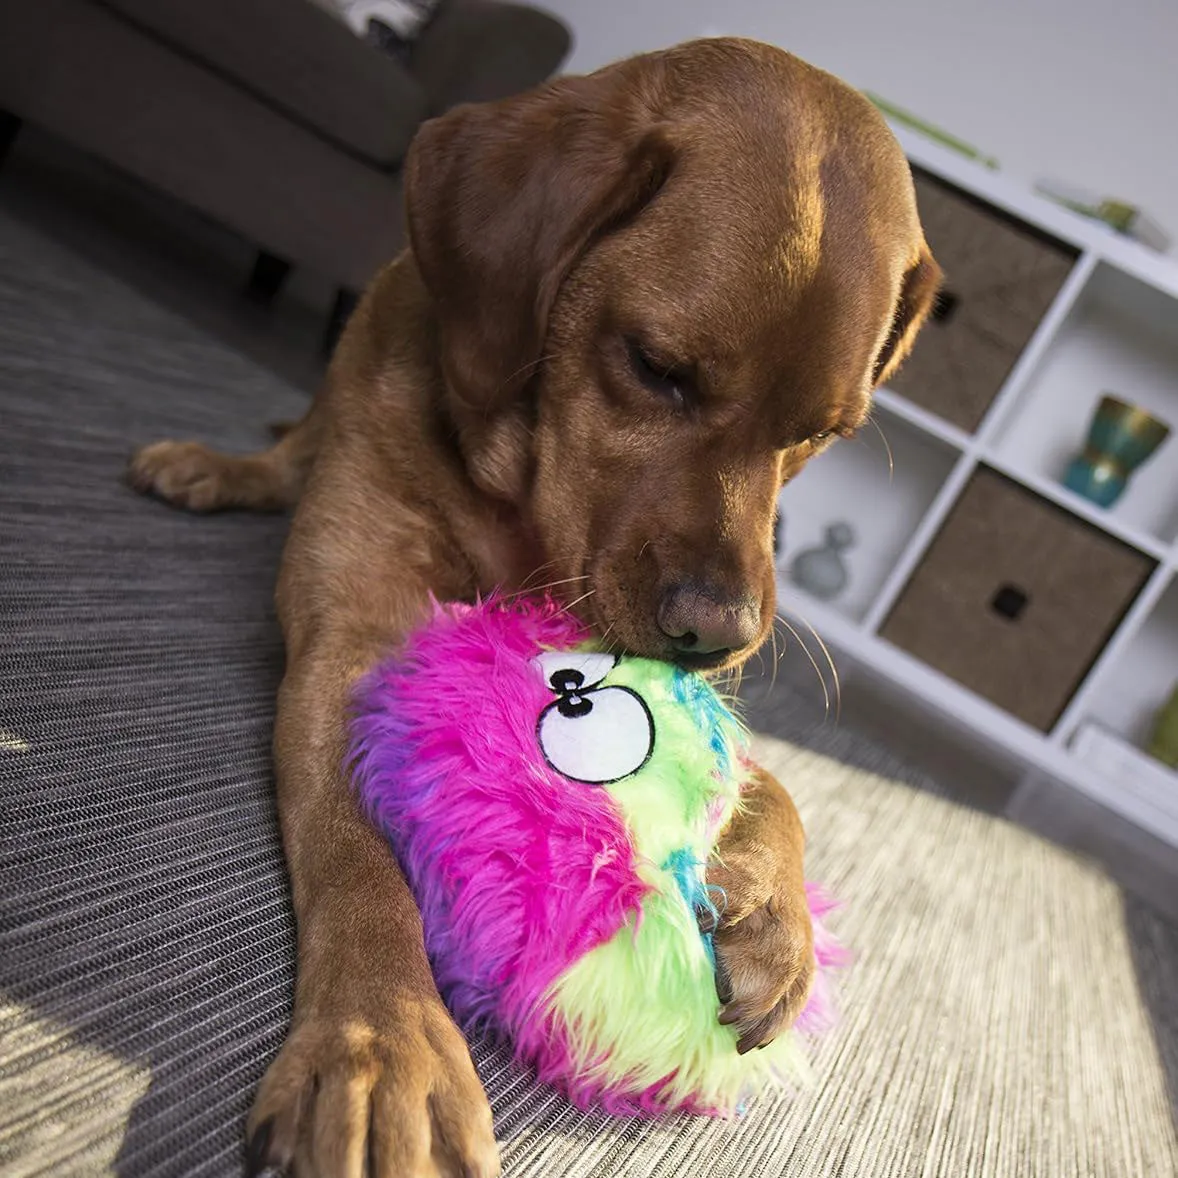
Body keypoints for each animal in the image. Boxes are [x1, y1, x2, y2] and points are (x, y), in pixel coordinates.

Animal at [126, 36, 937, 1178]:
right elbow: (360, 859)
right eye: (655, 366)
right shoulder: (352, 647)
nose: (722, 638)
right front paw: (383, 1047)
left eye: (822, 432)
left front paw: (780, 920)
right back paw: (215, 469)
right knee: (293, 447)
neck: (520, 519)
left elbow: (777, 786)